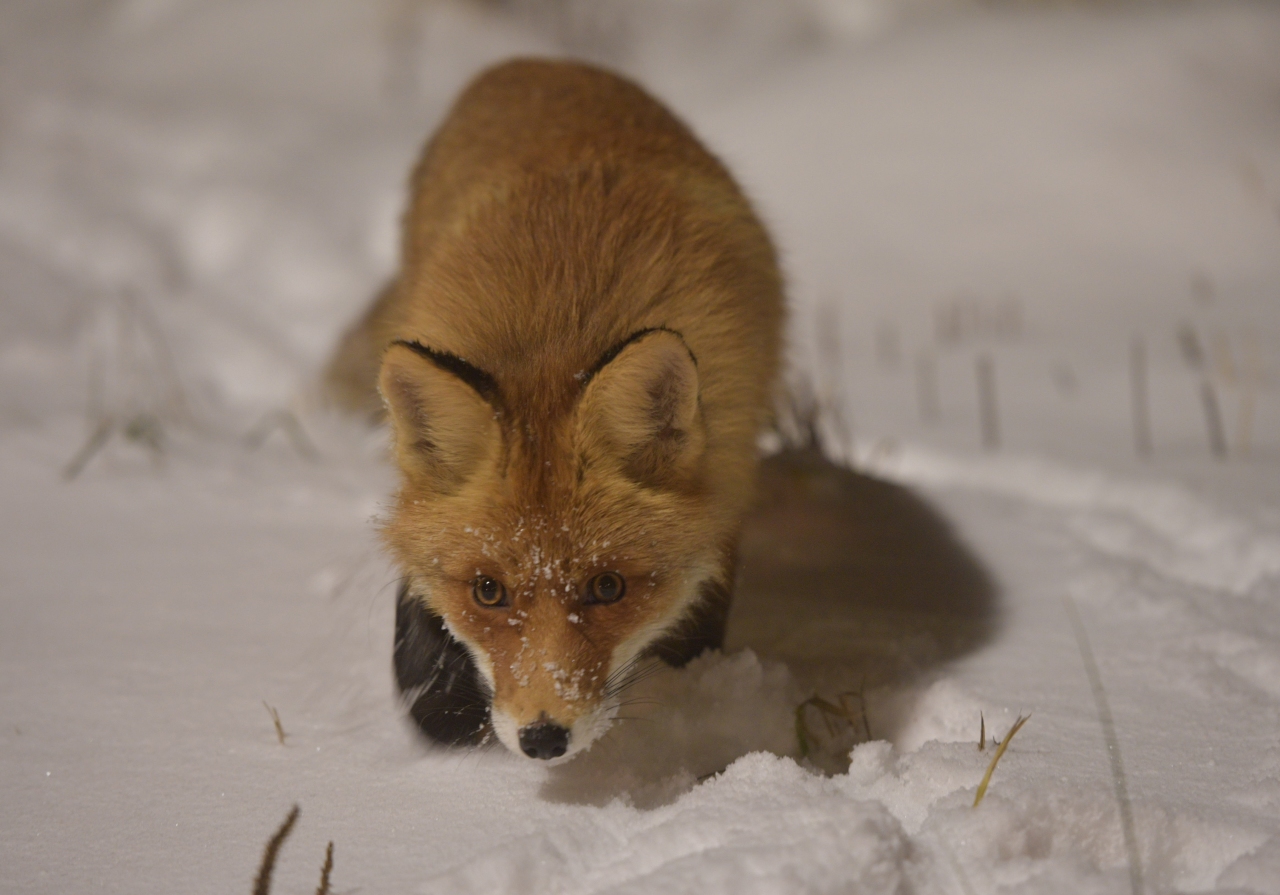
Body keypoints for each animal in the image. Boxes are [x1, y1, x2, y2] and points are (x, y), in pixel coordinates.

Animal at [325, 59, 783, 757]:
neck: (559, 334)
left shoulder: (726, 478)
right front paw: (439, 703)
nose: (543, 738)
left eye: (608, 588)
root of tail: (530, 63)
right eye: (488, 591)